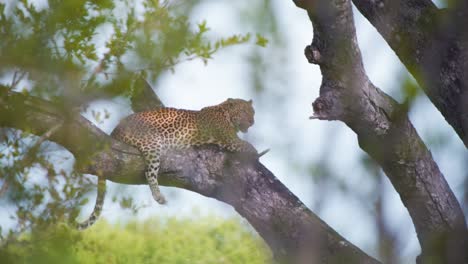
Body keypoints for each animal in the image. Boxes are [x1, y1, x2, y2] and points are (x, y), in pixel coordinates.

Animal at [77, 98, 260, 230]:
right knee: (149, 172)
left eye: (253, 112)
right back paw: (158, 196)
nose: (252, 122)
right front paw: (256, 152)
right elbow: (247, 145)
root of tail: (114, 131)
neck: (224, 112)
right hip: (152, 143)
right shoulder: (230, 139)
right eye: (245, 111)